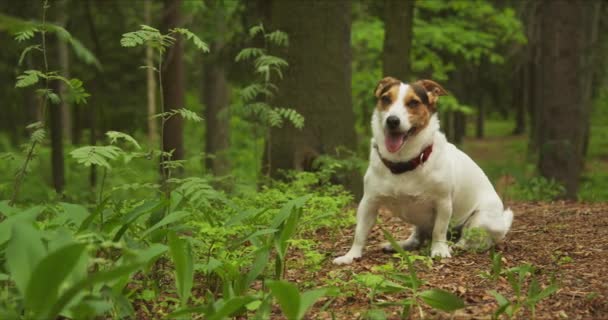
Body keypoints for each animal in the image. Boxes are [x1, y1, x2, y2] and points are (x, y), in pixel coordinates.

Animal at [332, 76, 512, 264]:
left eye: (413, 102)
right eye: (386, 99)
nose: (392, 120)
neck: (404, 162)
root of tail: (502, 223)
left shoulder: (443, 204)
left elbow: (439, 231)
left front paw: (439, 250)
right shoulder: (368, 202)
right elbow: (359, 233)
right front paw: (351, 255)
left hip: (480, 220)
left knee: (471, 240)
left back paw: (455, 246)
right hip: (421, 223)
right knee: (418, 238)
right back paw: (400, 245)